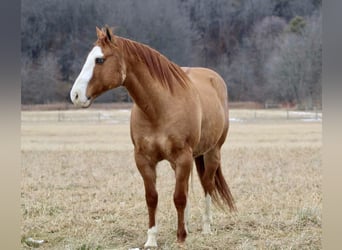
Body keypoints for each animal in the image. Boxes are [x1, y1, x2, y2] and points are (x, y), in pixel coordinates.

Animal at [69, 25, 235, 248]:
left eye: (100, 60)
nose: (76, 95)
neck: (159, 108)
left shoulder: (183, 157)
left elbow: (179, 197)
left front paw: (181, 238)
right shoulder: (144, 160)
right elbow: (152, 198)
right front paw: (151, 239)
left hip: (212, 153)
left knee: (207, 185)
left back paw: (206, 227)